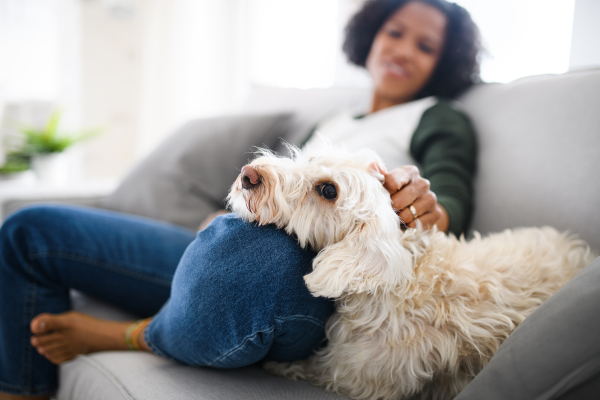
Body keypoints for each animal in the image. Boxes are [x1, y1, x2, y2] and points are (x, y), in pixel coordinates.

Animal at [226, 148, 596, 400]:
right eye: (311, 157)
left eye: (328, 191)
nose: (248, 174)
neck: (405, 281)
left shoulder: (355, 377)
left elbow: (309, 368)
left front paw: (276, 366)